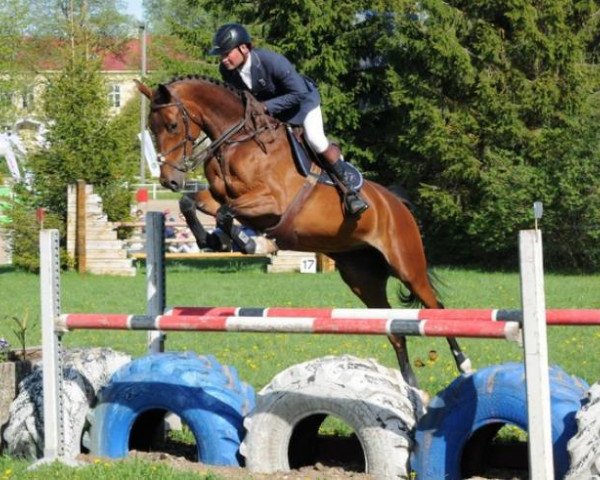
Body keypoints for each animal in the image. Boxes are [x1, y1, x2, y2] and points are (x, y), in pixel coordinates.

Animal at [135, 75, 468, 386]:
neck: (238, 141)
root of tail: (397, 204)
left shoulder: (272, 201)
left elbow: (227, 212)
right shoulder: (217, 195)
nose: (169, 180)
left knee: (436, 309)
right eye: (151, 128)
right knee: (394, 329)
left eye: (173, 125)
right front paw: (214, 240)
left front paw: (246, 243)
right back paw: (410, 385)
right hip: (361, 278)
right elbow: (192, 203)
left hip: (407, 266)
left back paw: (463, 366)